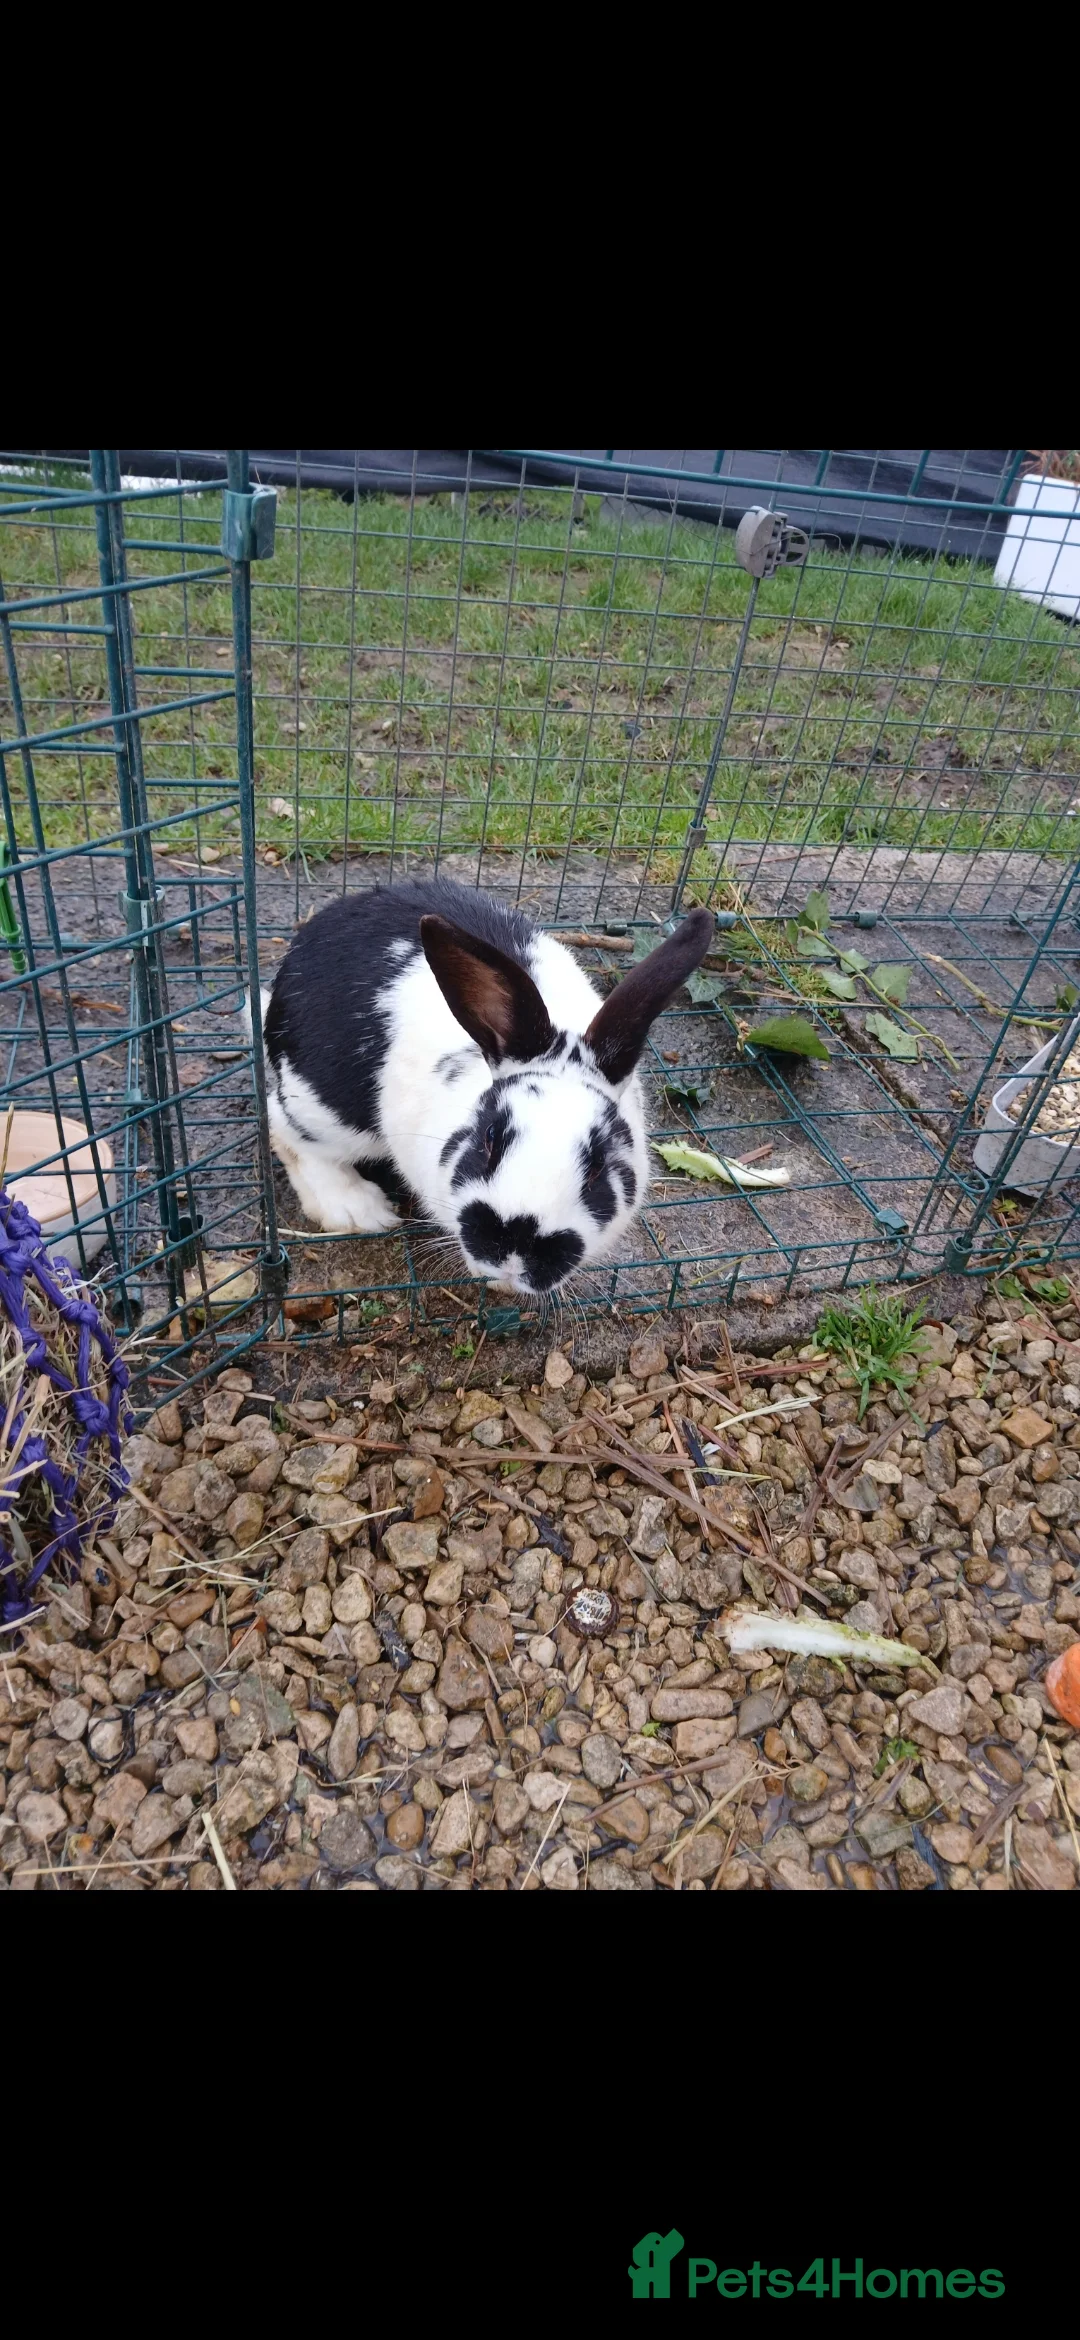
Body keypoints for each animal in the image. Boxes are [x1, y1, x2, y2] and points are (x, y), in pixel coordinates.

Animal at [248, 880, 714, 1296]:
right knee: (284, 1130)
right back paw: (356, 1208)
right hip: (328, 1112)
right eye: (489, 1138)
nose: (513, 1251)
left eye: (598, 1167)